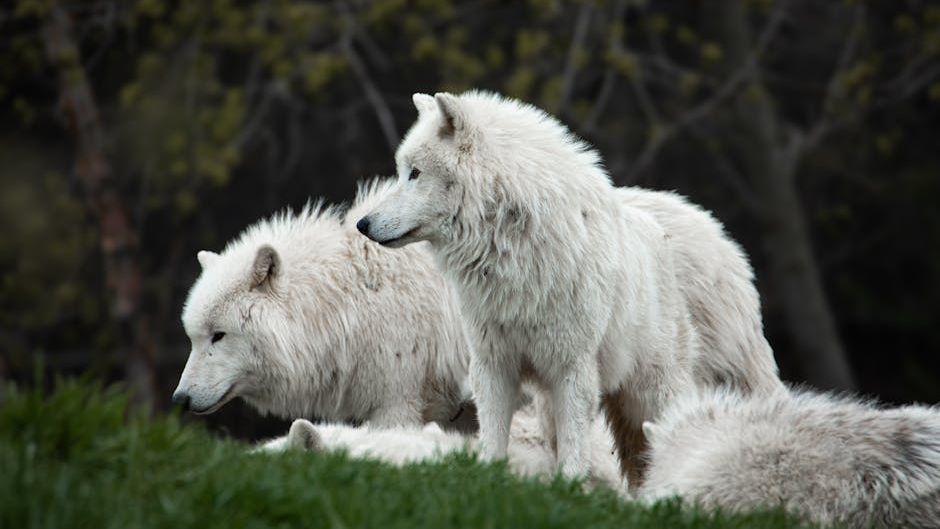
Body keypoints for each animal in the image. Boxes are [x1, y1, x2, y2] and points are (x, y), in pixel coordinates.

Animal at [357, 90, 726, 481]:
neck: (513, 253)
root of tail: (659, 233)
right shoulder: (492, 364)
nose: (363, 224)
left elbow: (575, 446)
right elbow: (493, 437)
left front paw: (571, 487)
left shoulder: (572, 368)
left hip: (652, 390)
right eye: (401, 172)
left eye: (415, 173)